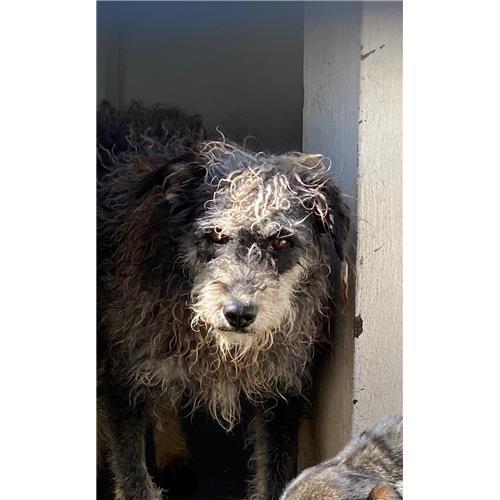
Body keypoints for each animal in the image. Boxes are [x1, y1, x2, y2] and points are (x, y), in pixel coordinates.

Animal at [97, 105, 350, 500]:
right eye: (215, 235)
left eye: (281, 241)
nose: (238, 313)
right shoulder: (121, 385)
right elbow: (134, 481)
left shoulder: (281, 394)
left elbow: (274, 475)